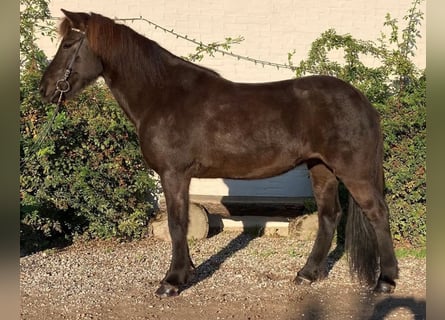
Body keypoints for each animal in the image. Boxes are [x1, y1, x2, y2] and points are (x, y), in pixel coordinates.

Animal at [40, 10, 398, 300]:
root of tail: (362, 101)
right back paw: (307, 274)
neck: (163, 95)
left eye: (68, 44)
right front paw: (185, 271)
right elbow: (181, 223)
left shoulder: (174, 174)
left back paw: (386, 281)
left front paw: (172, 281)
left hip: (353, 171)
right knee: (329, 216)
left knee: (378, 213)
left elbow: (177, 223)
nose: (45, 89)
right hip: (320, 168)